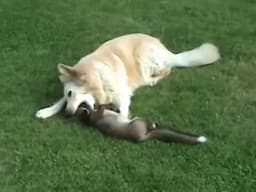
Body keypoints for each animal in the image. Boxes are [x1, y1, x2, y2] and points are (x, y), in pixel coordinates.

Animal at [75, 103, 206, 145]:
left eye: (82, 105)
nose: (85, 104)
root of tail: (143, 137)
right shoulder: (99, 115)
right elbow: (102, 107)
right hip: (138, 120)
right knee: (150, 123)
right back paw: (153, 124)